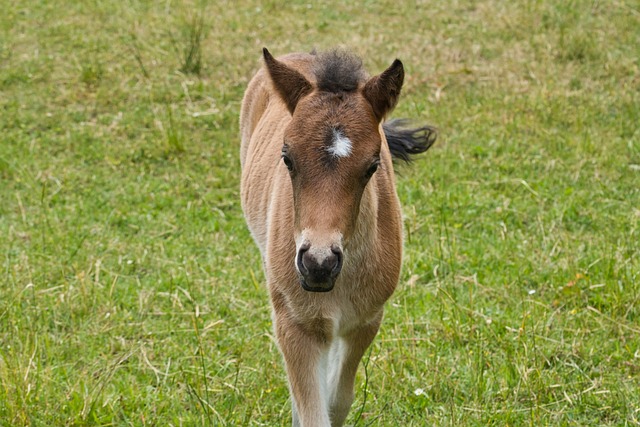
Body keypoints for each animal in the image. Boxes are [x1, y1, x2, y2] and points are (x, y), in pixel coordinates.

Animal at [239, 48, 436, 426]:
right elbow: (311, 410)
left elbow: (337, 401)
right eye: (287, 158)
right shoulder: (294, 323)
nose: (319, 263)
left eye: (372, 166)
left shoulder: (366, 321)